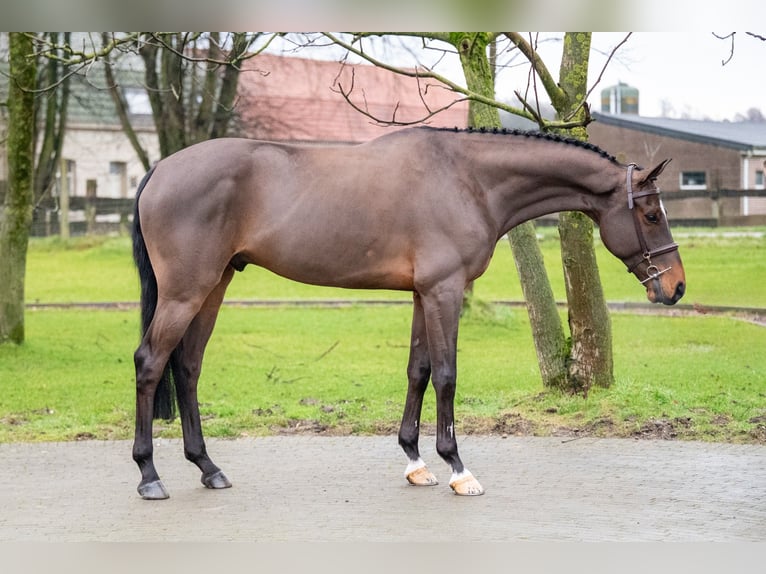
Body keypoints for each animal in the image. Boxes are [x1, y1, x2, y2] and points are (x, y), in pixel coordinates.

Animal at [129, 126, 688, 500]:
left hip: (214, 285)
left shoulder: (424, 294)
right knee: (150, 363)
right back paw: (149, 476)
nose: (677, 287)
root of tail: (160, 169)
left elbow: (417, 370)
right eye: (650, 214)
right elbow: (445, 375)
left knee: (187, 366)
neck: (467, 179)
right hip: (186, 290)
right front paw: (458, 469)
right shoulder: (445, 291)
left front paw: (416, 464)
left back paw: (208, 468)